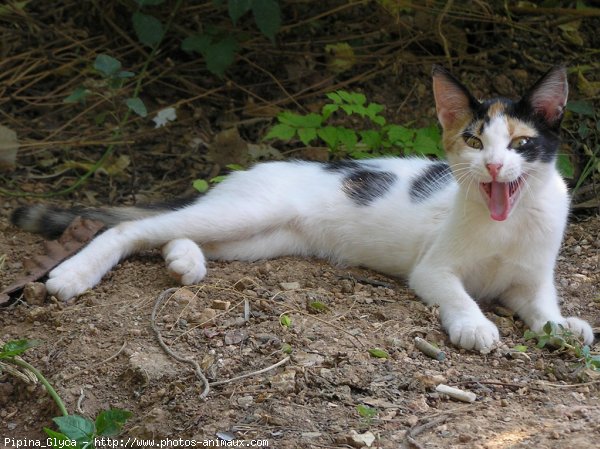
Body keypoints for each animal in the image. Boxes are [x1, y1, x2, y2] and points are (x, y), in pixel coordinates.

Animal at [11, 66, 592, 352]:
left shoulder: (532, 279)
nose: (492, 166)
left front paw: (564, 326)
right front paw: (475, 325)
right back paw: (74, 274)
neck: (508, 224)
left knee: (173, 236)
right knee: (133, 229)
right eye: (473, 141)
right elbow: (457, 293)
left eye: (519, 144)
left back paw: (184, 261)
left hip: (262, 237)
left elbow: (543, 307)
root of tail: (245, 172)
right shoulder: (433, 269)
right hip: (245, 213)